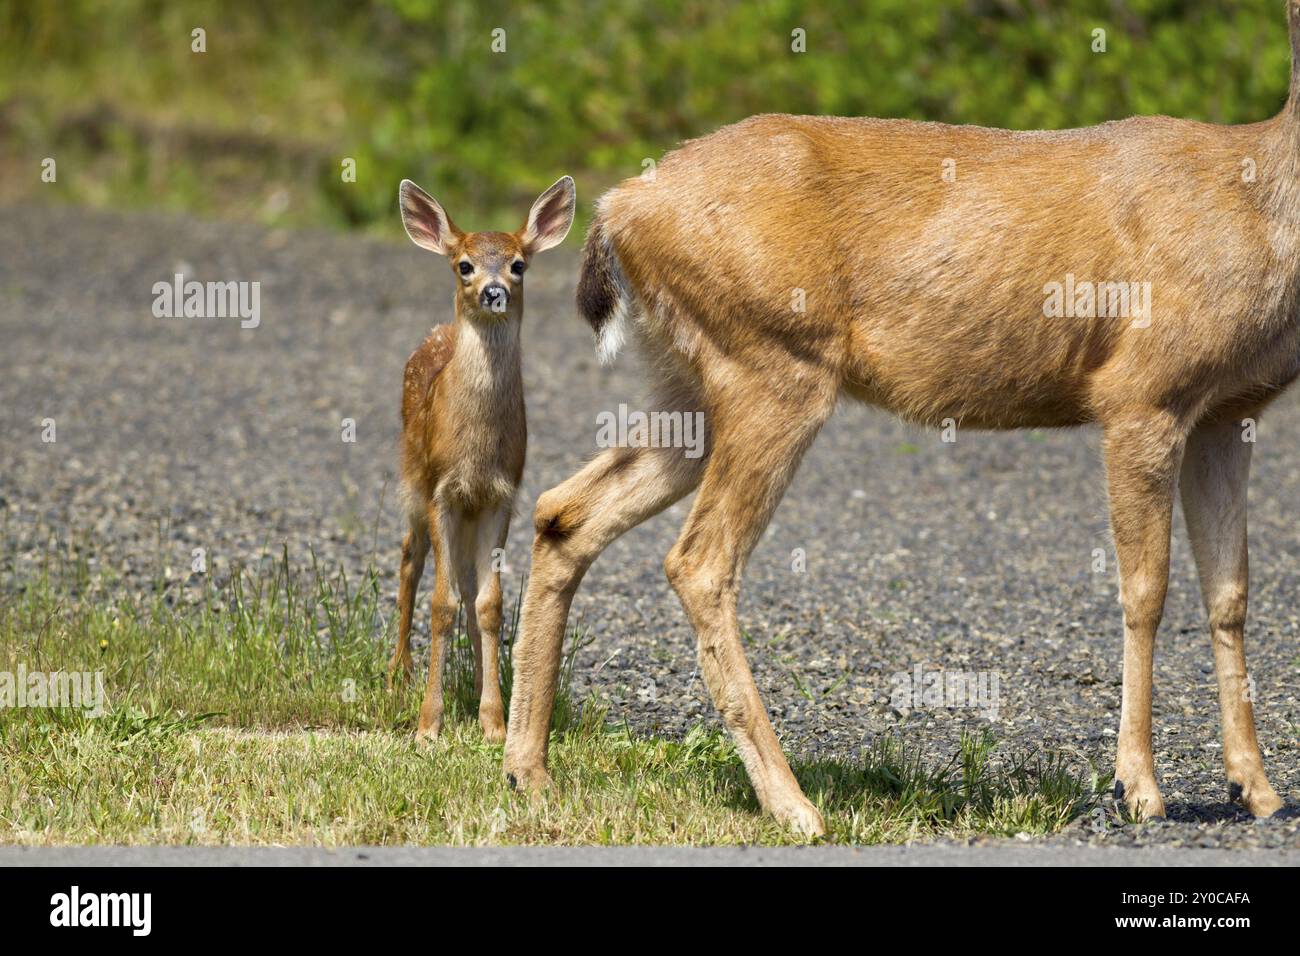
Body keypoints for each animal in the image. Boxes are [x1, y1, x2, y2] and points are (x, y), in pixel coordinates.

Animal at [390, 180, 574, 749]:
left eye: (518, 265)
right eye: (465, 265)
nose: (494, 291)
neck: (474, 450)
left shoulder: (500, 495)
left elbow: (488, 604)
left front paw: (493, 721)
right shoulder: (440, 492)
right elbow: (440, 604)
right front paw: (428, 724)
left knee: (470, 590)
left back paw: (473, 687)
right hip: (412, 484)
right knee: (410, 560)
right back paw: (397, 674)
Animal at [499, 5, 1300, 832]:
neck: (1264, 200)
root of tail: (616, 208)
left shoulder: (1230, 412)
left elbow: (1231, 592)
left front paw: (1258, 789)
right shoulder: (1142, 393)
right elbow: (1146, 587)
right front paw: (1138, 788)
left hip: (688, 385)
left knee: (566, 511)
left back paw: (530, 771)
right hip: (773, 364)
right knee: (698, 560)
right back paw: (793, 805)